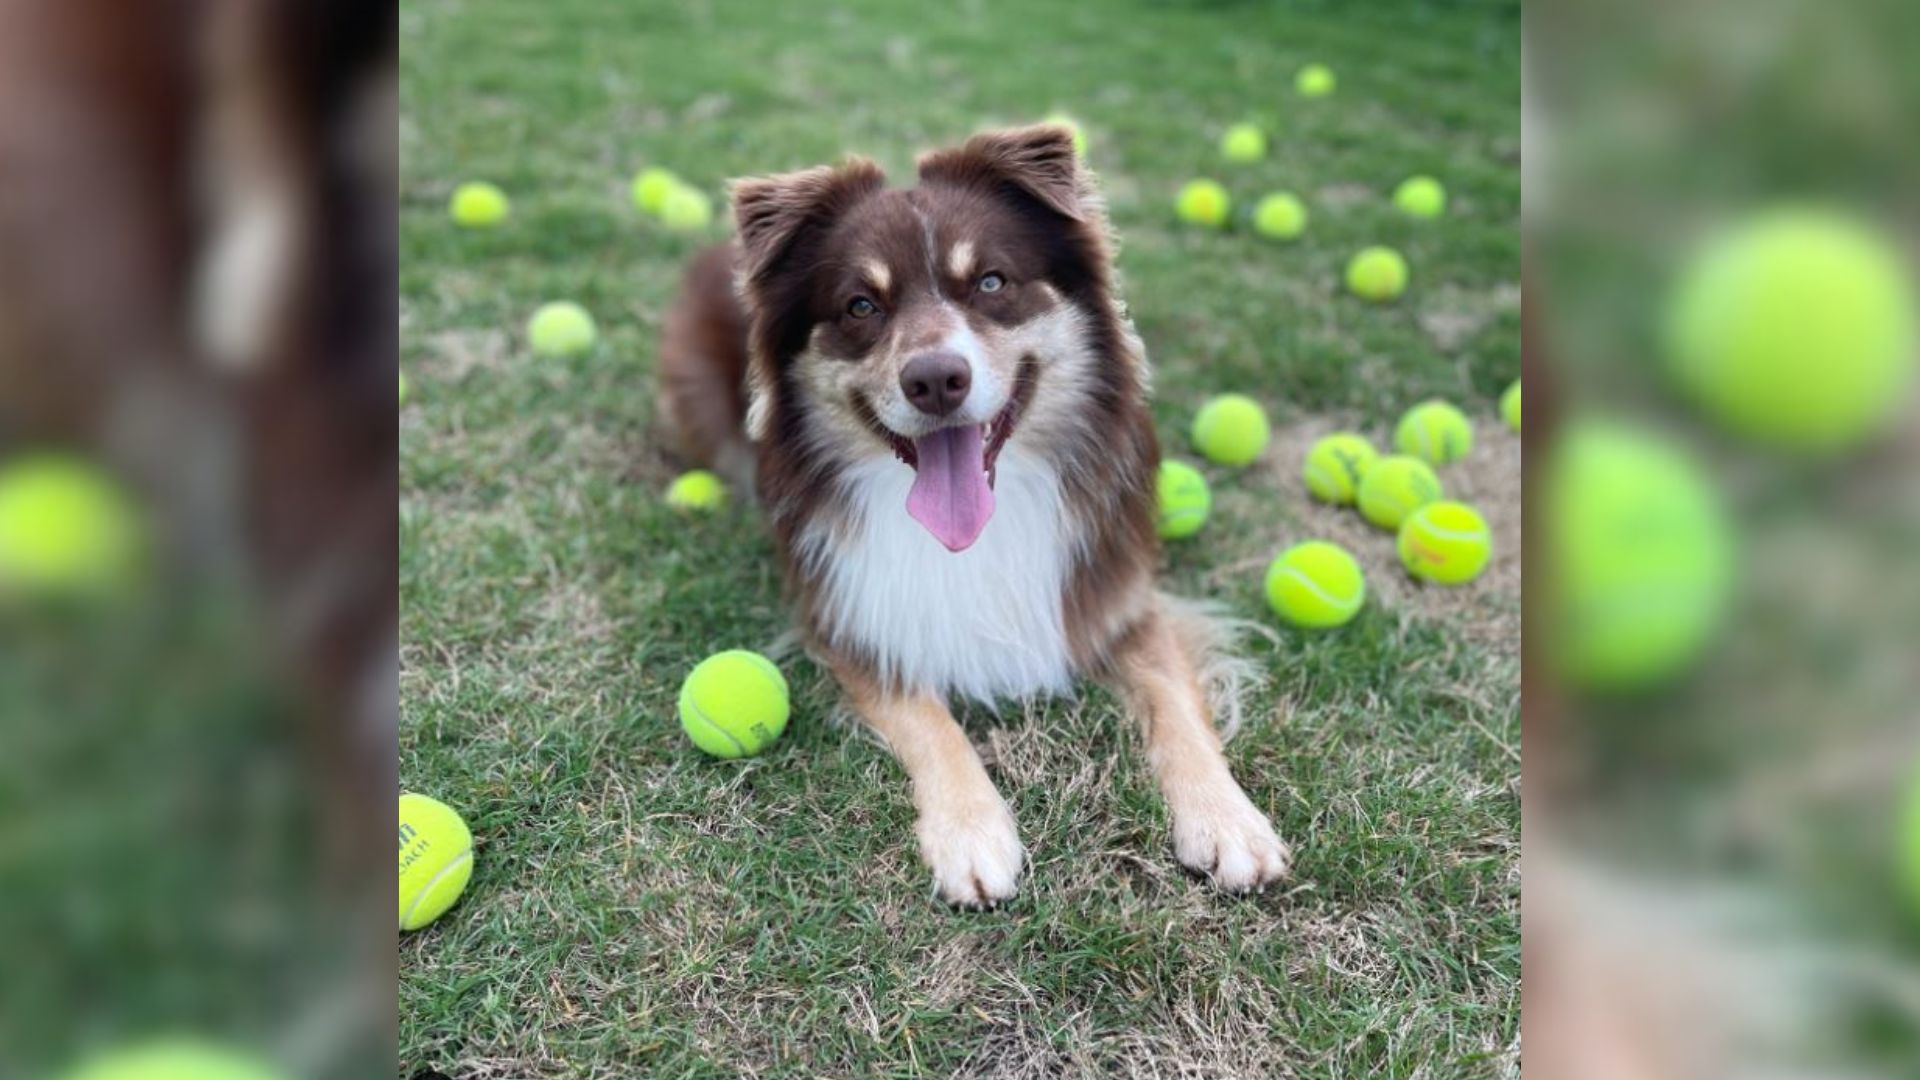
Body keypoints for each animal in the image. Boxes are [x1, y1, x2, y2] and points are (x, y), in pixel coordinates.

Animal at [660, 123, 1290, 899]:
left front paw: (1227, 820)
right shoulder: (852, 614)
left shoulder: (1120, 595)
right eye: (861, 306)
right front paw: (971, 831)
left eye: (991, 282)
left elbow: (1175, 702)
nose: (935, 380)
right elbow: (929, 720)